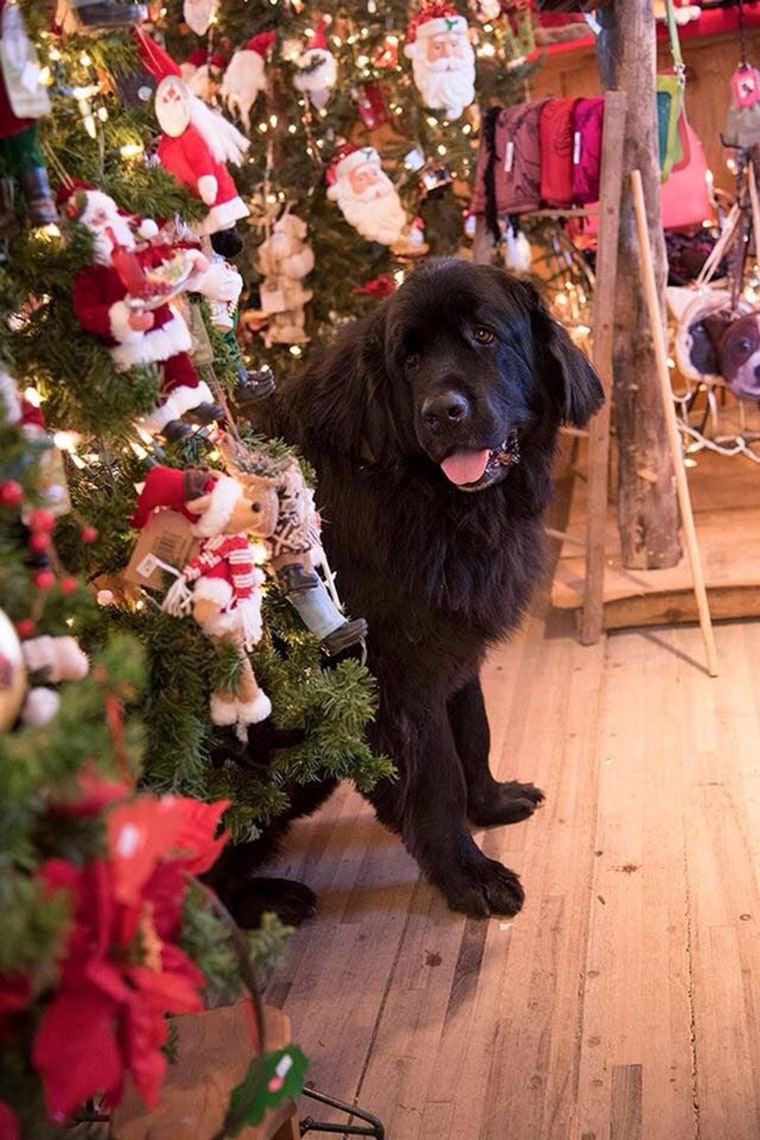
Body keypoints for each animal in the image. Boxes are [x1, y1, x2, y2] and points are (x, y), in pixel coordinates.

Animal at [218, 256, 601, 916]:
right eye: (410, 360)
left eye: (484, 335)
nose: (443, 412)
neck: (425, 495)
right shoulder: (392, 678)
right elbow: (436, 778)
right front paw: (471, 877)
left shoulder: (453, 646)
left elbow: (474, 732)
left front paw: (492, 803)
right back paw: (268, 900)